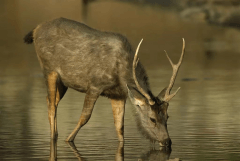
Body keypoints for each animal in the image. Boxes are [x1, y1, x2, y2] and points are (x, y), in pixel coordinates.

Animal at [23, 17, 186, 147]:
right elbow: (85, 117)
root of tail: (35, 30)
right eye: (152, 119)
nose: (167, 141)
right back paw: (54, 137)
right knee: (51, 104)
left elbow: (120, 127)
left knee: (51, 100)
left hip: (64, 81)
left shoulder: (118, 94)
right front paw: (68, 139)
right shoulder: (95, 84)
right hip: (49, 69)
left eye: (167, 117)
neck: (121, 73)